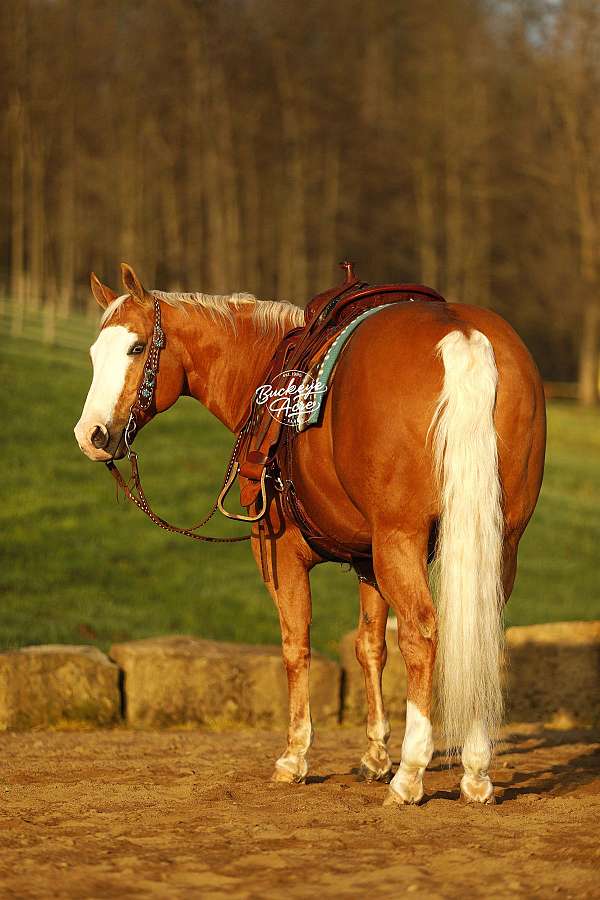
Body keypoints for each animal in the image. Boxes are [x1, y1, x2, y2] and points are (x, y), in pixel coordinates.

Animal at [74, 263, 546, 806]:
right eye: (94, 353)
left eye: (135, 348)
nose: (91, 435)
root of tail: (461, 337)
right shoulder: (368, 561)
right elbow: (370, 646)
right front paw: (374, 755)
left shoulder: (283, 555)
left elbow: (295, 645)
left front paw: (295, 756)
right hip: (498, 542)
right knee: (480, 632)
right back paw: (474, 771)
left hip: (401, 539)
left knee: (422, 633)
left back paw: (411, 774)